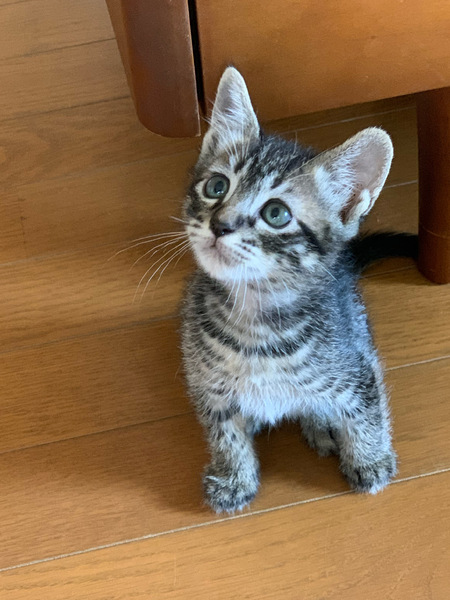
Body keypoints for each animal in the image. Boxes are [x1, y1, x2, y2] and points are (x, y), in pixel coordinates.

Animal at [180, 67, 417, 513]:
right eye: (216, 186)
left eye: (277, 214)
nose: (220, 225)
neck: (255, 322)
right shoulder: (208, 386)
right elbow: (225, 433)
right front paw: (233, 477)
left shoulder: (356, 365)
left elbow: (368, 411)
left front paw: (371, 461)